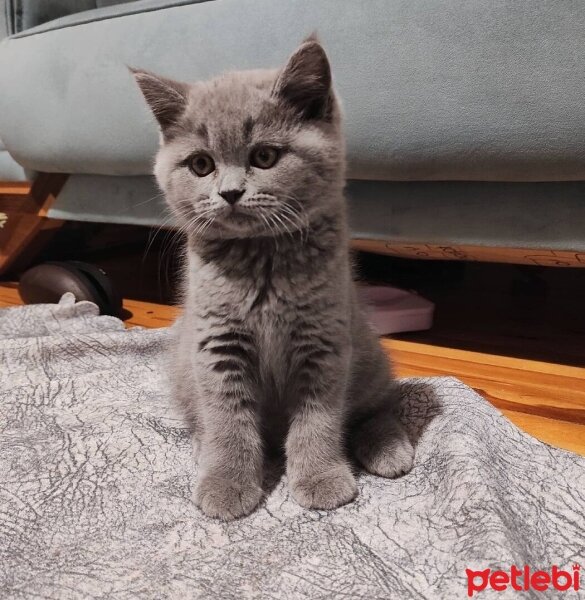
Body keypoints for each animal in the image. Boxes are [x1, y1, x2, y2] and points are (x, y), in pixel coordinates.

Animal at [134, 37, 412, 520]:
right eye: (201, 165)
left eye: (264, 156)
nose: (229, 192)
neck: (261, 260)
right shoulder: (216, 343)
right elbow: (227, 419)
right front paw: (227, 481)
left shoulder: (323, 340)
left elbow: (319, 418)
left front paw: (320, 477)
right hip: (182, 368)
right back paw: (202, 448)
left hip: (368, 352)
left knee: (376, 406)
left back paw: (388, 446)